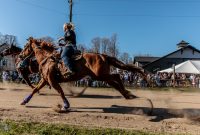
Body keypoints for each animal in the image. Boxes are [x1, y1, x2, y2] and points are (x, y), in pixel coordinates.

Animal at [19, 37, 149, 111]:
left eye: (25, 47)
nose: (20, 56)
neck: (47, 59)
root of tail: (102, 55)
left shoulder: (52, 81)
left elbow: (60, 92)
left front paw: (66, 105)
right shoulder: (45, 80)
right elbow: (35, 89)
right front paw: (24, 101)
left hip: (100, 75)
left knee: (116, 77)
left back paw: (127, 93)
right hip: (101, 76)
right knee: (115, 82)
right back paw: (127, 94)